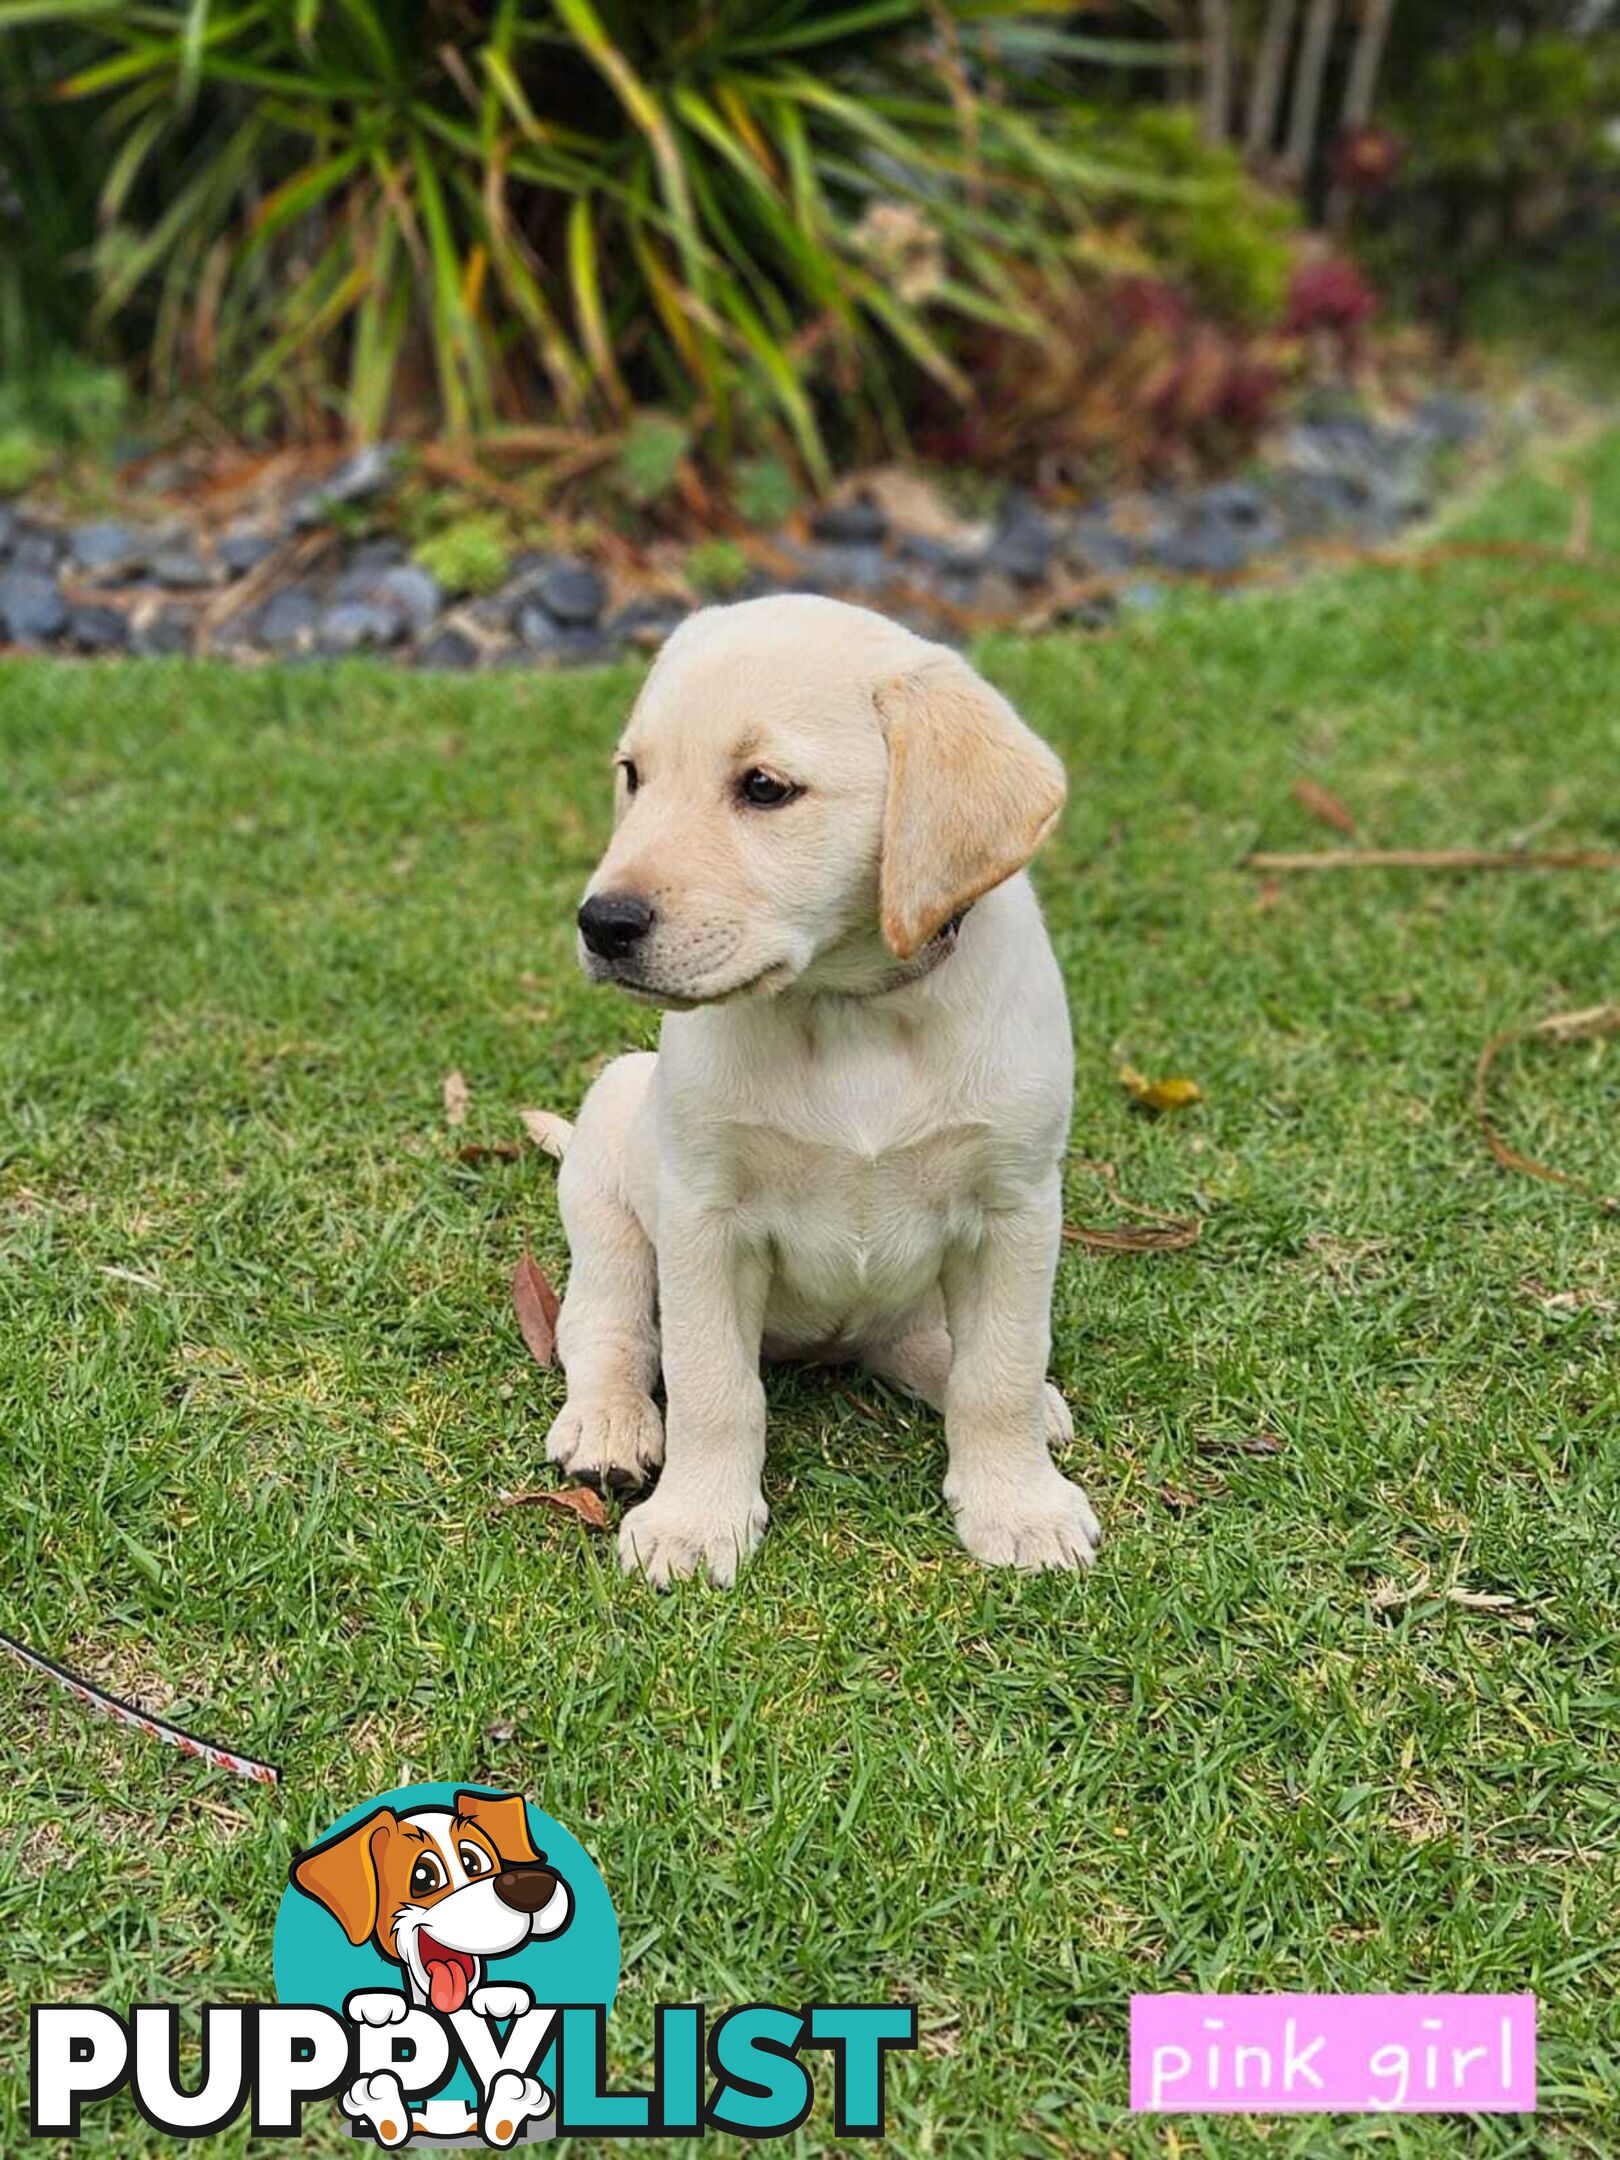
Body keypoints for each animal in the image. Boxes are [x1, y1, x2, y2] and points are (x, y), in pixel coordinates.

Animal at [548, 591, 1105, 1589]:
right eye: (633, 776)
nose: (601, 923)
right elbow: (713, 1386)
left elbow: (999, 1370)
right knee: (608, 1330)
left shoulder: (1015, 1208)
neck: (849, 1009)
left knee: (936, 1349)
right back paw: (610, 1425)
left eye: (765, 788)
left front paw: (1019, 1505)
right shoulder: (706, 1219)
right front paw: (696, 1523)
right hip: (610, 1168)